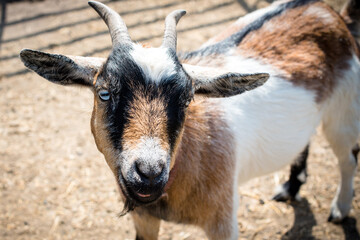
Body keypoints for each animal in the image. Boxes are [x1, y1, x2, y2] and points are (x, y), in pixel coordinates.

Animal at [20, 0, 360, 239]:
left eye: (187, 99)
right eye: (104, 93)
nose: (149, 173)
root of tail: (332, 14)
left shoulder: (223, 221)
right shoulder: (144, 220)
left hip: (342, 115)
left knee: (347, 159)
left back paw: (340, 209)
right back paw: (290, 187)